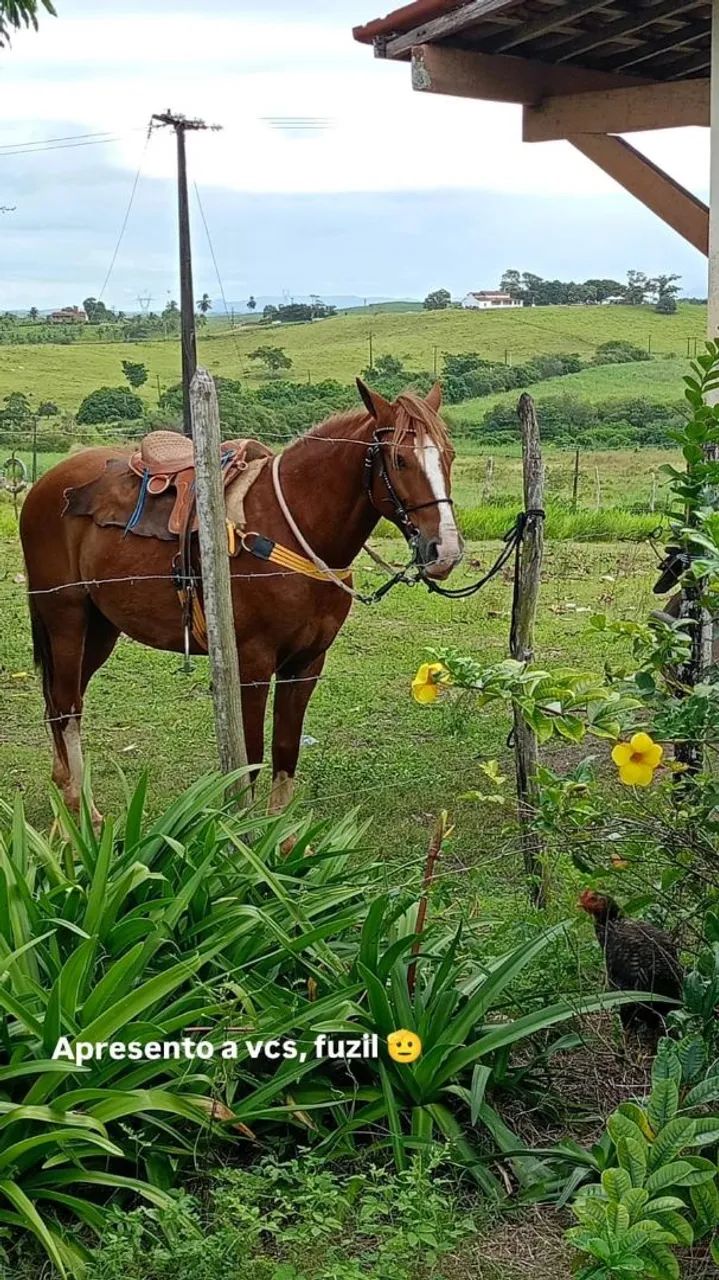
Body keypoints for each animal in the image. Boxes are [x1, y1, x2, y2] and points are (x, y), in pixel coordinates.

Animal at [19, 380, 463, 819]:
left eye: (449, 455)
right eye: (400, 460)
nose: (446, 551)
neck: (294, 529)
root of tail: (44, 485)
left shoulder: (306, 664)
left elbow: (284, 749)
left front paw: (281, 838)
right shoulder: (252, 665)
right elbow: (249, 759)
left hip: (100, 628)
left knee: (61, 701)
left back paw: (64, 789)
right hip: (66, 618)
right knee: (67, 705)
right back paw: (80, 810)